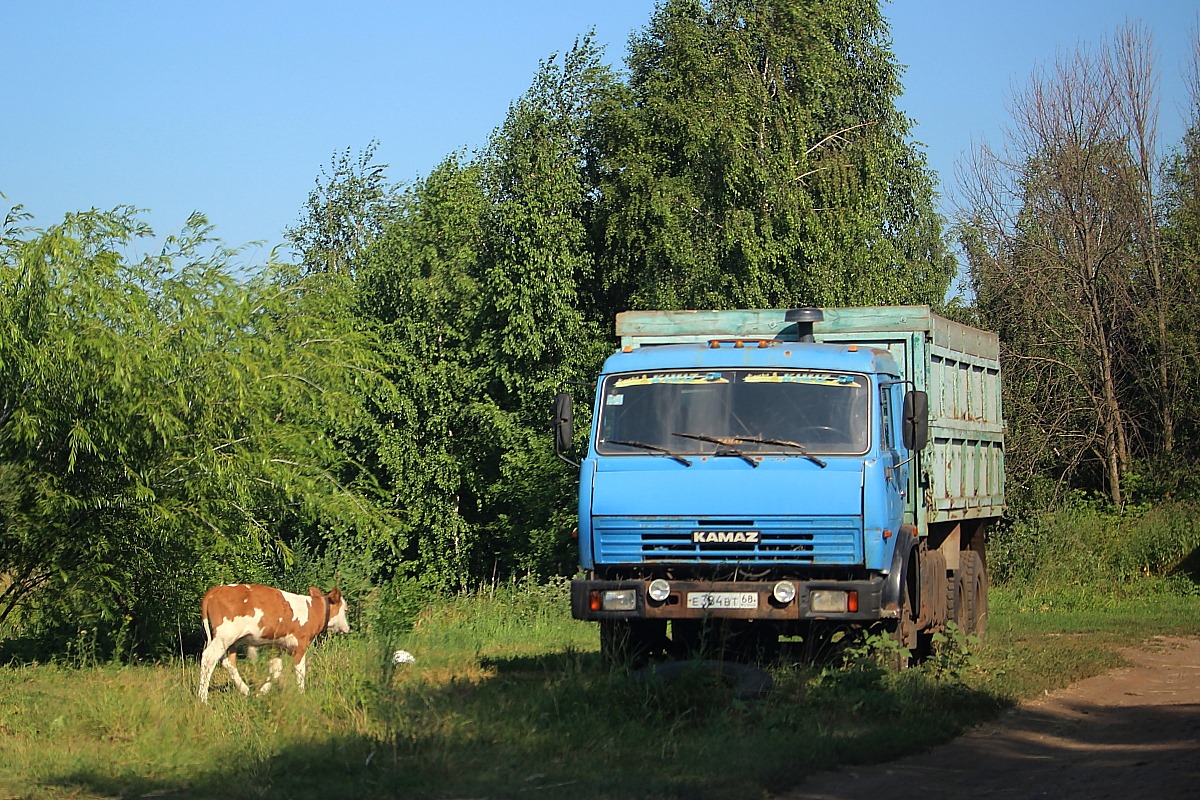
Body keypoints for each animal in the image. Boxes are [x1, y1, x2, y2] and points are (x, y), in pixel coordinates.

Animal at [199, 585, 350, 705]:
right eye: (346, 610)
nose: (348, 628)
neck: (314, 610)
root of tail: (217, 589)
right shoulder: (301, 645)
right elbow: (300, 672)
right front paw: (302, 695)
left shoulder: (275, 646)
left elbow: (276, 670)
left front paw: (260, 693)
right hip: (225, 636)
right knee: (208, 659)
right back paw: (203, 699)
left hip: (231, 640)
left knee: (228, 662)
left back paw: (245, 690)